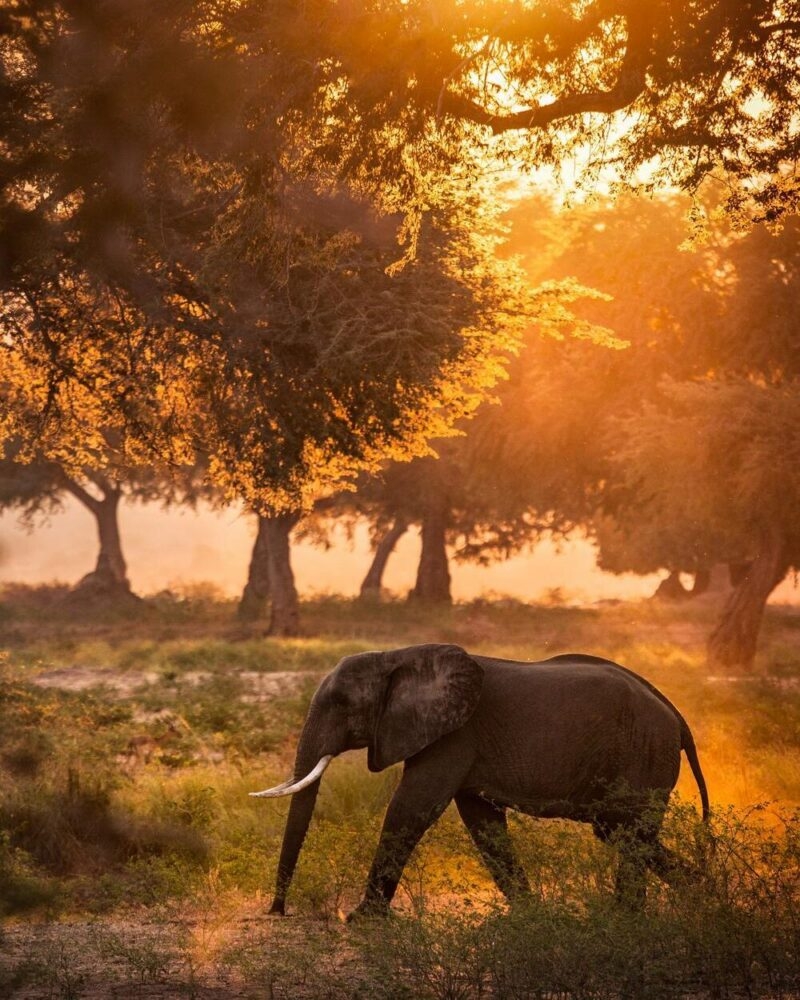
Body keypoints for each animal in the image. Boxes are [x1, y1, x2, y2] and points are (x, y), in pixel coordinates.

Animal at [251, 643, 709, 918]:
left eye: (342, 703)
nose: (278, 911)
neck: (397, 656)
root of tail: (676, 716)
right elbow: (482, 822)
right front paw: (529, 916)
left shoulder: (454, 735)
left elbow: (411, 808)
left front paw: (361, 919)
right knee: (621, 832)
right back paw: (698, 894)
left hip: (644, 753)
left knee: (629, 831)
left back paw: (630, 917)